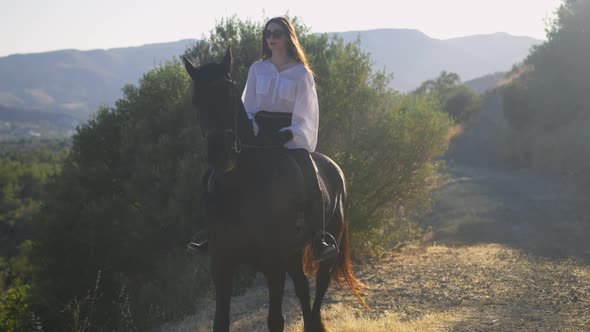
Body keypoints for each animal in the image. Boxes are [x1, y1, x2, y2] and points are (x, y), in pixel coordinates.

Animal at [183, 47, 368, 332]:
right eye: (196, 101)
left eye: (231, 95)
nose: (221, 155)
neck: (242, 188)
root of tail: (335, 168)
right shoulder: (222, 264)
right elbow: (220, 322)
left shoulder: (273, 264)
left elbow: (275, 321)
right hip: (292, 254)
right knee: (303, 287)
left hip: (324, 250)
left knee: (320, 287)